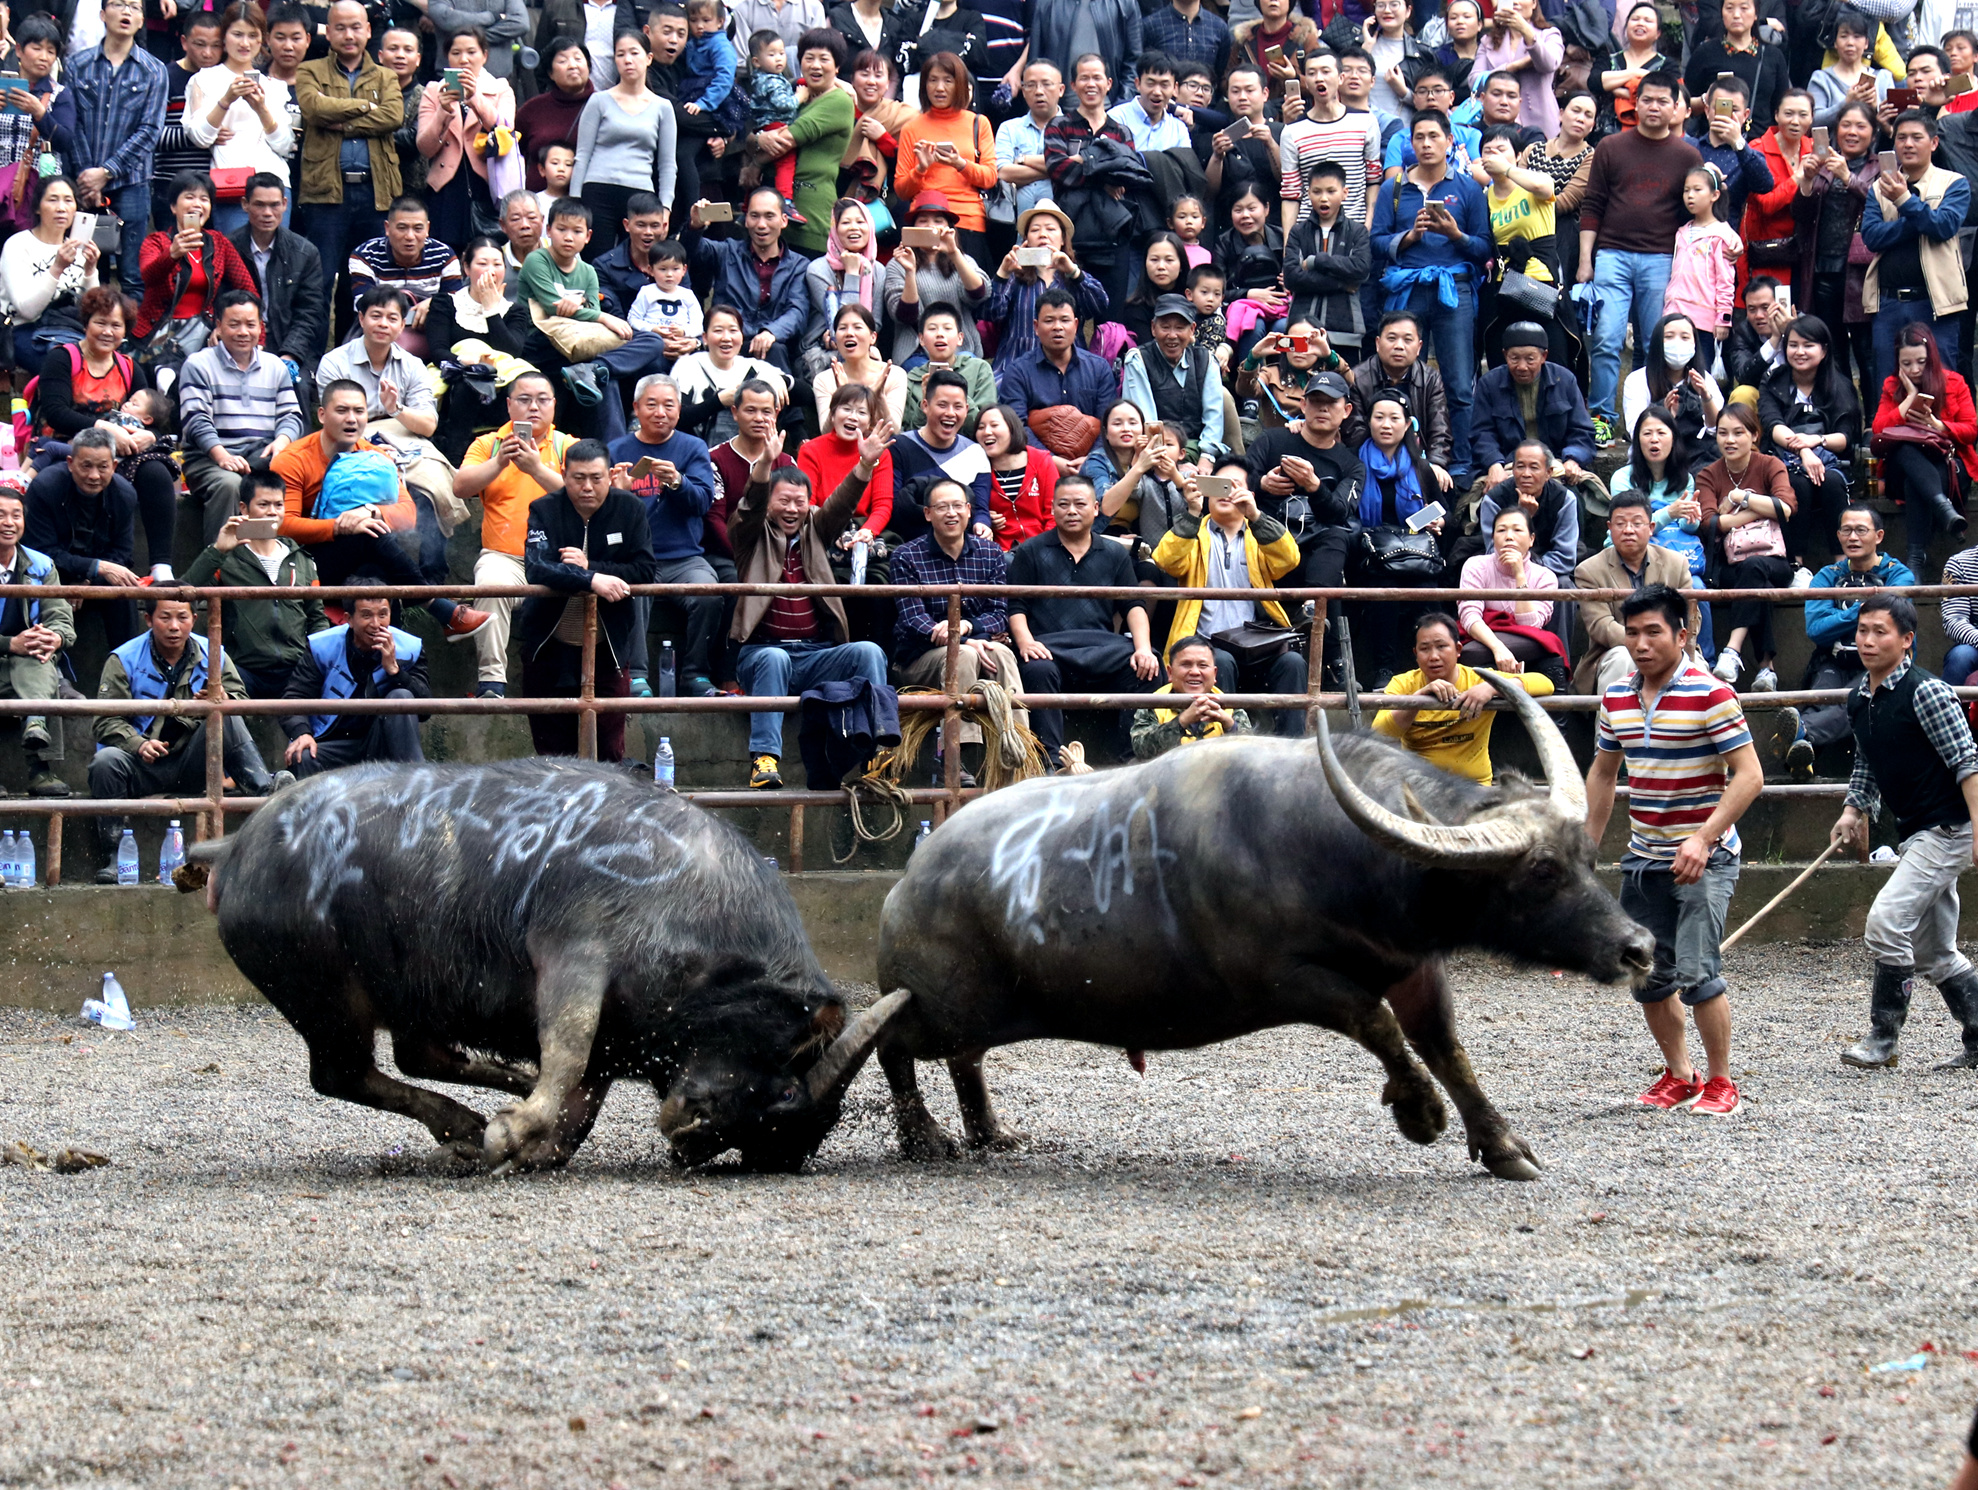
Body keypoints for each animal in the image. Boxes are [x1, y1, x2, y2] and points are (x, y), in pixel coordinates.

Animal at [192, 759, 890, 1171]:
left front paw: (531, 1139)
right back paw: (470, 1122)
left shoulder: (615, 1035)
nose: (697, 1137)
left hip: (408, 991)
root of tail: (236, 846)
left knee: (415, 1055)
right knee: (343, 1074)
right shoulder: (573, 950)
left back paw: (487, 1100)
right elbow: (568, 1051)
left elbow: (579, 1105)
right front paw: (513, 1131)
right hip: (327, 997)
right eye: (789, 1083)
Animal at [866, 680, 1653, 1179]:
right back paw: (925, 1137)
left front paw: (1503, 1145)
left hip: (979, 1012)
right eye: (1541, 871)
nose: (1637, 948)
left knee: (966, 1061)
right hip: (940, 1004)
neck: (1345, 853)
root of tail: (908, 880)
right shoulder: (1287, 981)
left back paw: (990, 1131)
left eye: (1586, 856)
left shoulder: (1413, 965)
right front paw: (1420, 1113)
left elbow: (1445, 1046)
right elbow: (1376, 1022)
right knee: (894, 1044)